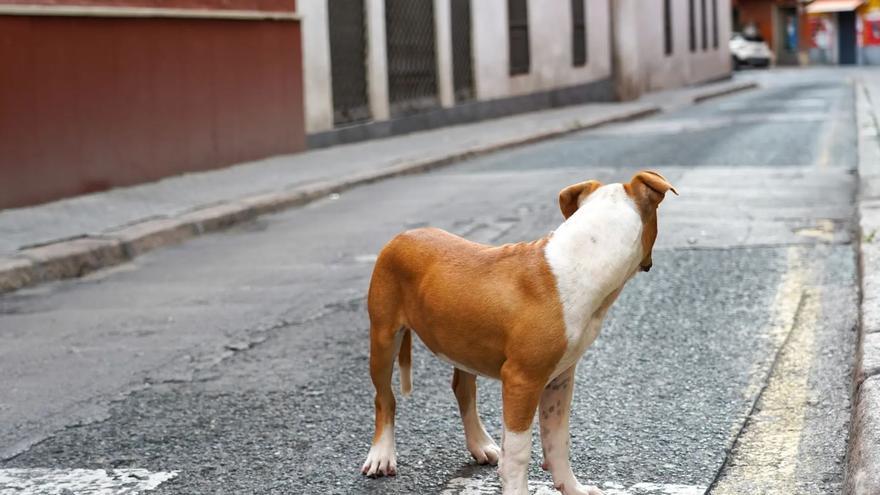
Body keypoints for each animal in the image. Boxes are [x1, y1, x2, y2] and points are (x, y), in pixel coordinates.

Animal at [360, 171, 676, 495]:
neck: (587, 254)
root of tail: (402, 236)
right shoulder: (522, 381)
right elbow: (518, 453)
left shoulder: (560, 379)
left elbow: (557, 440)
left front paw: (572, 488)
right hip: (384, 337)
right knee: (384, 398)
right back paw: (382, 455)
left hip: (461, 342)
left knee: (463, 389)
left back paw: (480, 444)